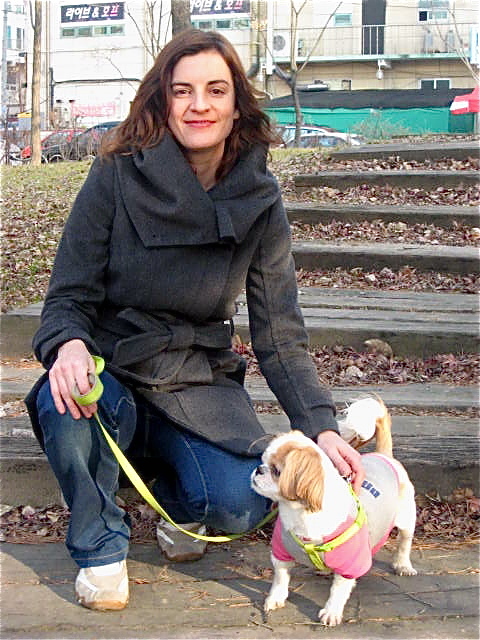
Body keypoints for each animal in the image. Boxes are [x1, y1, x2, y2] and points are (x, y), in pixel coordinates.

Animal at [251, 396, 416, 624]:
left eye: (276, 471)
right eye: (262, 460)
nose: (258, 469)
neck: (302, 516)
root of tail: (385, 456)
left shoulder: (350, 564)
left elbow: (338, 590)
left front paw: (331, 612)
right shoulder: (280, 552)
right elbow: (280, 578)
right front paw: (275, 599)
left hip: (407, 520)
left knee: (404, 544)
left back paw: (403, 565)